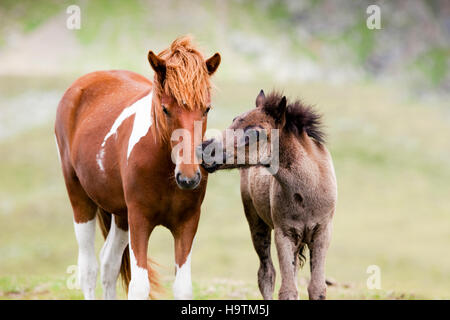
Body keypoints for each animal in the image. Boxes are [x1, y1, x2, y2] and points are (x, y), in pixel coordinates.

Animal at [55, 37, 221, 300]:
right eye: (165, 109)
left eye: (206, 109)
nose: (188, 178)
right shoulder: (139, 220)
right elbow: (139, 286)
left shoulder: (187, 223)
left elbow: (183, 288)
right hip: (81, 200)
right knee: (89, 269)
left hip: (121, 216)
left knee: (108, 264)